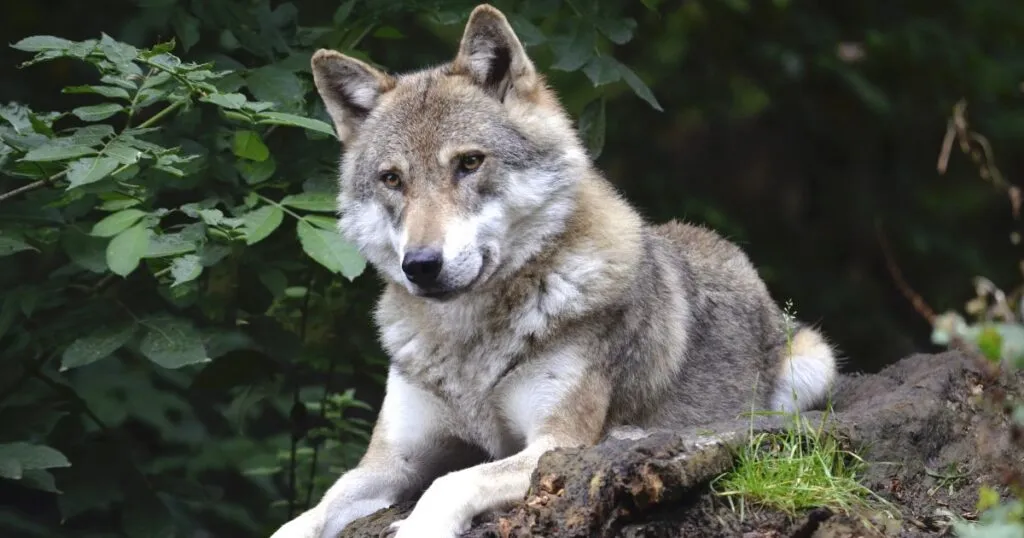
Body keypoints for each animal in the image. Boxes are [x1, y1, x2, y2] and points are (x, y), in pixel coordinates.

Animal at [270, 4, 838, 538]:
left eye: (469, 163)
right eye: (392, 179)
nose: (422, 265)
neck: (468, 344)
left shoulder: (555, 444)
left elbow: (449, 482)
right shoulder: (391, 462)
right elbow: (310, 513)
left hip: (812, 366)